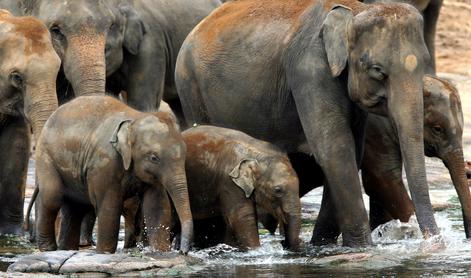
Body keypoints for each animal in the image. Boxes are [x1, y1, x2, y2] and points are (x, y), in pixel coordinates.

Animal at [34, 95, 194, 254]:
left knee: (75, 207)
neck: (135, 119)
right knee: (52, 197)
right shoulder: (104, 163)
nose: (183, 251)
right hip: (46, 157)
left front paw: (160, 251)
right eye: (154, 158)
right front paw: (104, 252)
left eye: (185, 153)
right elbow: (109, 204)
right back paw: (48, 248)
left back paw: (66, 248)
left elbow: (156, 204)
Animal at [176, 0, 438, 248]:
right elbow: (335, 150)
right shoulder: (309, 70)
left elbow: (352, 151)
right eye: (377, 71)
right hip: (190, 88)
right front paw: (362, 247)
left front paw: (323, 245)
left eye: (425, 64)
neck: (353, 11)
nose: (434, 242)